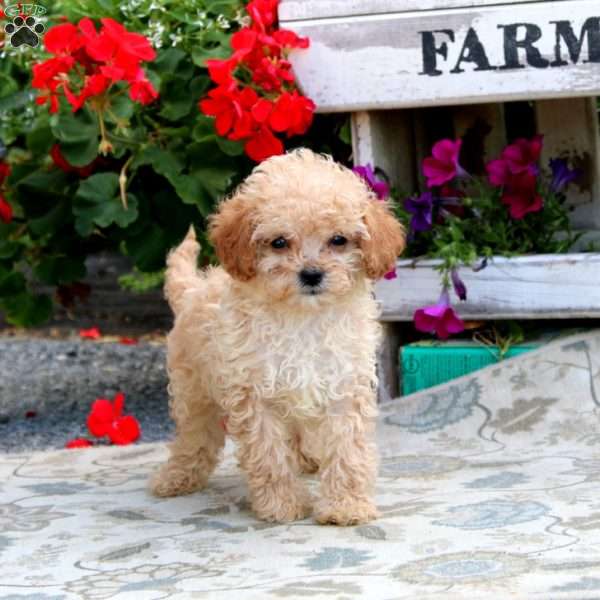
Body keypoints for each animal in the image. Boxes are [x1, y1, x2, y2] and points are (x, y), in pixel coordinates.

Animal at [149, 149, 404, 524]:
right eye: (279, 242)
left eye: (338, 240)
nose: (311, 274)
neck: (302, 318)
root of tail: (193, 289)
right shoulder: (255, 394)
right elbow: (268, 454)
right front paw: (283, 504)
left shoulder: (344, 385)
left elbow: (347, 448)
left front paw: (346, 505)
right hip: (193, 390)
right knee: (194, 436)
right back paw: (177, 477)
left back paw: (308, 461)